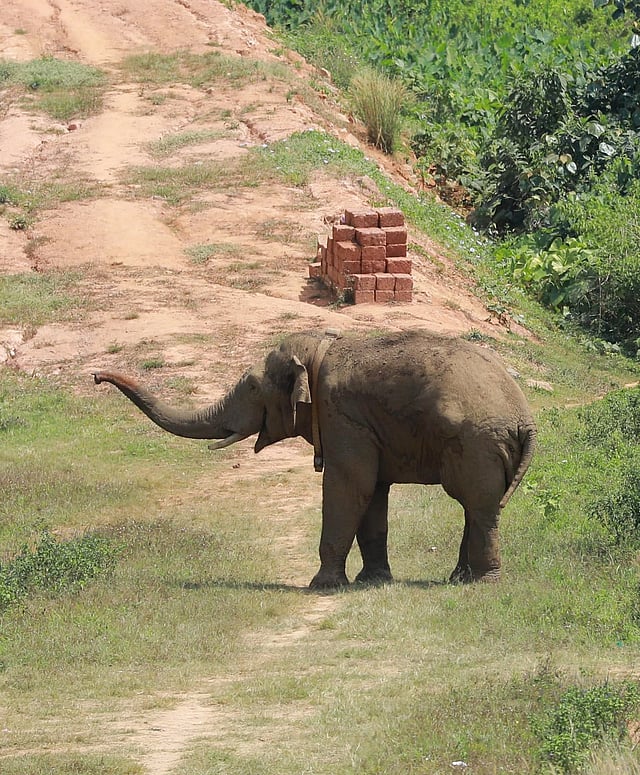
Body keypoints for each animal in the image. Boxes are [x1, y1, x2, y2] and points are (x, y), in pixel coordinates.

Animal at [93, 329, 536, 588]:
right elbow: (372, 492)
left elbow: (348, 486)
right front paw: (371, 582)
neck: (321, 348)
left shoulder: (342, 415)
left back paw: (482, 583)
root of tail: (525, 419)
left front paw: (322, 585)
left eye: (251, 388)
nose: (97, 376)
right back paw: (459, 578)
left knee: (478, 506)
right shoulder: (363, 425)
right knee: (476, 508)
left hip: (477, 444)